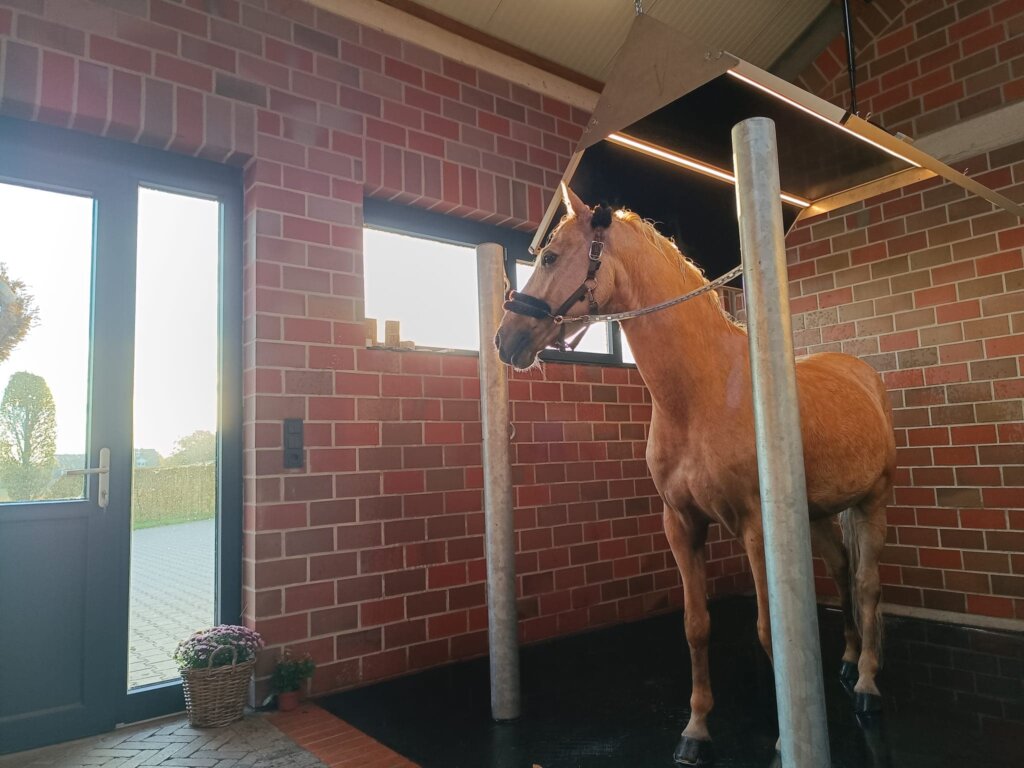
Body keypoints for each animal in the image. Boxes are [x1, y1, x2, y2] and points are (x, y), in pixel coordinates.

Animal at [495, 186, 895, 765]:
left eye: (548, 258)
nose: (506, 339)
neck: (701, 393)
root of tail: (862, 375)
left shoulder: (756, 528)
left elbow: (769, 627)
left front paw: (784, 738)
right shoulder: (681, 525)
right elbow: (696, 626)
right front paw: (697, 728)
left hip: (873, 502)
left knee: (866, 583)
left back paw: (865, 683)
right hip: (819, 513)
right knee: (843, 571)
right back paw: (845, 660)